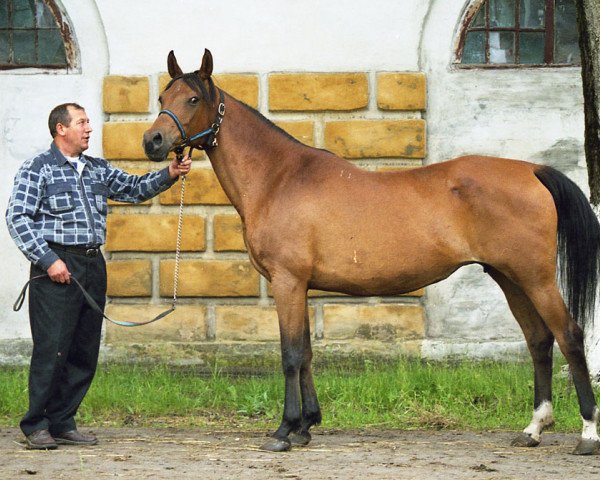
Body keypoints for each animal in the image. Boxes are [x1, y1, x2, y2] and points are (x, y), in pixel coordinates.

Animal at [144, 50, 600, 456]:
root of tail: (532, 170)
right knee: (539, 340)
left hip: (535, 277)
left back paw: (587, 434)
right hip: (509, 277)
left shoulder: (287, 282)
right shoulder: (301, 286)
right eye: (163, 97)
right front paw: (307, 426)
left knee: (569, 336)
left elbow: (290, 355)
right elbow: (306, 353)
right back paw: (533, 429)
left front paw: (284, 430)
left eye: (193, 99)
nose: (153, 141)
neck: (279, 178)